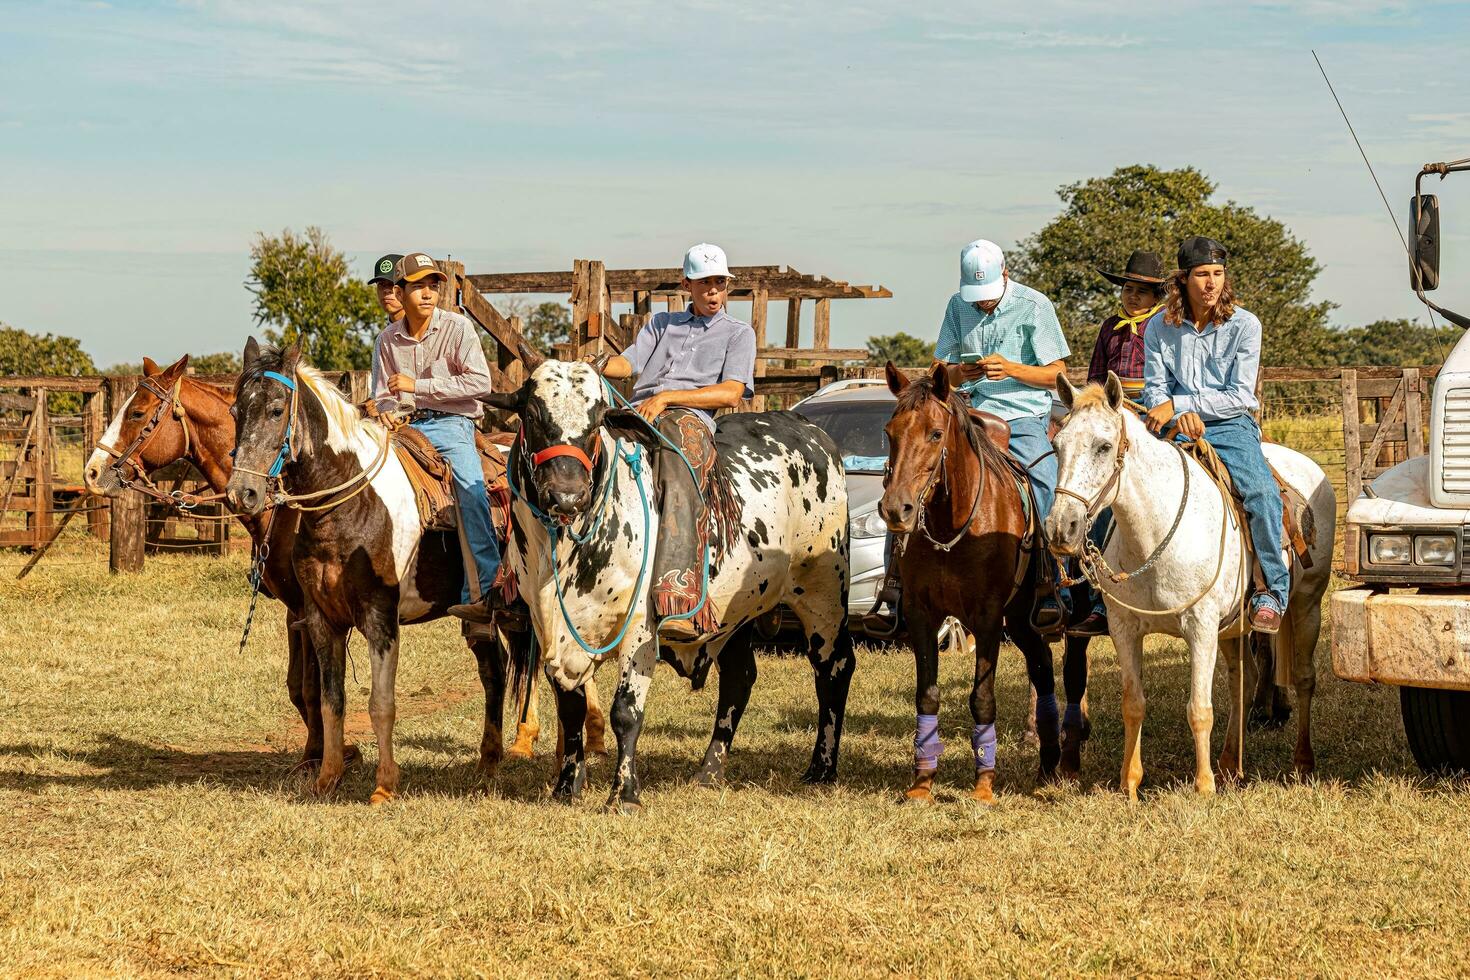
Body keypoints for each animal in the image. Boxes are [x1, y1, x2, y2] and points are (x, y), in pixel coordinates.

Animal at [485, 348, 852, 816]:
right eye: (532, 413)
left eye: (598, 419)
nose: (567, 495)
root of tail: (811, 431)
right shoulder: (550, 629)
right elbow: (570, 710)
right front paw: (566, 787)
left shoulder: (639, 629)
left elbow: (626, 713)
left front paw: (624, 794)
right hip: (735, 610)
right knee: (739, 678)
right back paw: (710, 771)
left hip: (823, 594)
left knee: (834, 668)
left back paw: (821, 769)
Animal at [876, 359, 1064, 805]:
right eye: (890, 433)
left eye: (935, 433)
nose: (895, 509)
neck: (953, 522)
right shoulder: (921, 614)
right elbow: (927, 694)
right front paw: (922, 780)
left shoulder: (988, 616)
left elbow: (982, 698)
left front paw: (983, 783)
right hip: (1020, 622)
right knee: (1042, 666)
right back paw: (1047, 757)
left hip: (1024, 614)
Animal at [1040, 373, 1340, 799]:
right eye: (1057, 445)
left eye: (1103, 446)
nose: (1059, 529)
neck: (1155, 530)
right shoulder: (1124, 628)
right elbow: (1133, 704)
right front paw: (1130, 783)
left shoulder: (1200, 627)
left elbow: (1199, 708)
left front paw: (1203, 786)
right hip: (1232, 627)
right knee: (1243, 682)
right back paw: (1231, 763)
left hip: (1307, 604)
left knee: (1303, 677)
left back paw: (1302, 761)